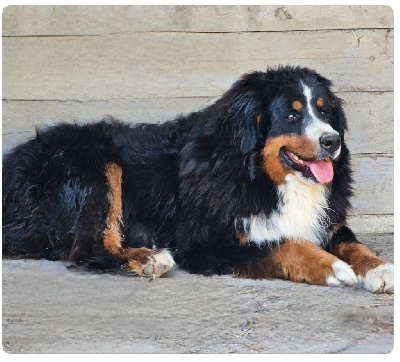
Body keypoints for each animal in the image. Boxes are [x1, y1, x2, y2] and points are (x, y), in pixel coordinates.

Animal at [2, 65, 394, 292]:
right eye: (292, 115)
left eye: (326, 111)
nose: (332, 141)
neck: (261, 177)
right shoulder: (206, 242)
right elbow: (287, 245)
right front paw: (334, 267)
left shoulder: (329, 222)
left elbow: (354, 245)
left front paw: (381, 270)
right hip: (95, 162)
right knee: (88, 249)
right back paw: (149, 259)